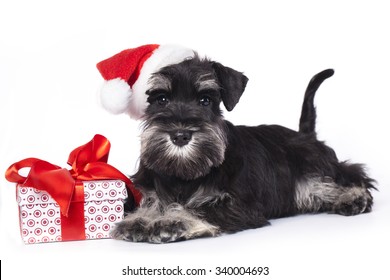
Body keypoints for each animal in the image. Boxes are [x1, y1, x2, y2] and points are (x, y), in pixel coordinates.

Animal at [110, 55, 374, 243]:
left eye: (205, 100)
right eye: (161, 99)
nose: (180, 135)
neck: (185, 174)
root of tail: (305, 135)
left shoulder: (237, 205)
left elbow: (202, 209)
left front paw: (171, 221)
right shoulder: (148, 192)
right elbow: (151, 204)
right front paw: (141, 220)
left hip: (313, 169)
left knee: (349, 176)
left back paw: (354, 198)